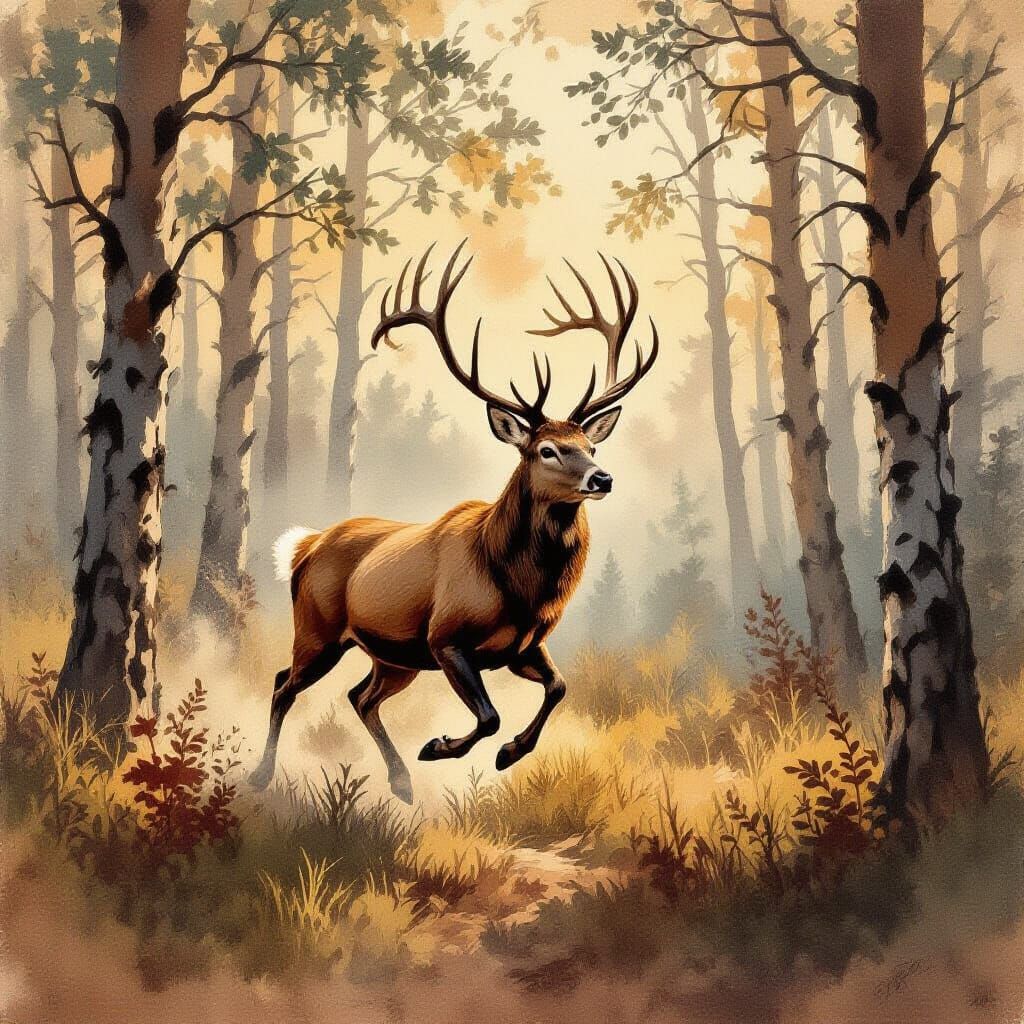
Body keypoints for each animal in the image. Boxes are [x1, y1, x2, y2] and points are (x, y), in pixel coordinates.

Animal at [249, 242, 658, 803]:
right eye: (547, 450)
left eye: (590, 446)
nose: (603, 478)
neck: (519, 586)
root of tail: (305, 546)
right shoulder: (446, 637)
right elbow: (489, 715)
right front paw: (443, 746)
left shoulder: (523, 646)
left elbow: (559, 687)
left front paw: (509, 753)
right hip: (318, 629)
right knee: (282, 683)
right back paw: (261, 775)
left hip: (392, 656)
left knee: (360, 696)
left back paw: (400, 782)